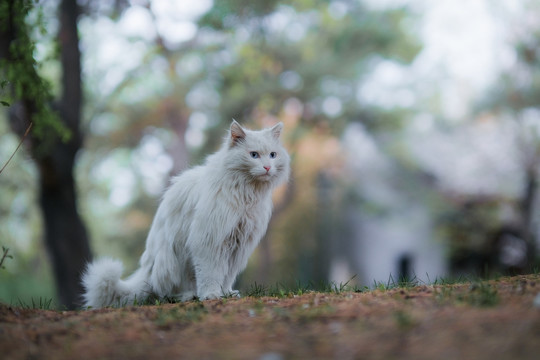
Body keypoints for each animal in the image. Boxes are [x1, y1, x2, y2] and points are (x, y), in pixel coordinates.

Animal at [81, 120, 288, 306]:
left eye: (272, 155)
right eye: (254, 155)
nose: (267, 167)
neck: (246, 193)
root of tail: (145, 271)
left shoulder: (238, 245)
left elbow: (227, 275)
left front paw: (226, 293)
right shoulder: (209, 241)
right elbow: (210, 274)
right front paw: (211, 295)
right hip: (172, 263)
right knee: (164, 294)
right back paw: (188, 295)